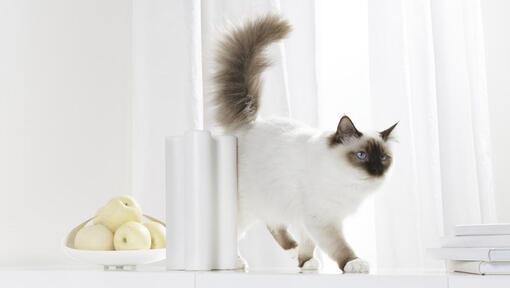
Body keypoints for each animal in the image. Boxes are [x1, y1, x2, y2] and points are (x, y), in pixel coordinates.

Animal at [213, 14, 396, 274]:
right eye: (361, 156)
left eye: (383, 158)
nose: (377, 171)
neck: (348, 184)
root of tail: (250, 124)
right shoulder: (322, 218)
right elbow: (339, 247)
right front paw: (354, 263)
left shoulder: (309, 217)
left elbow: (309, 241)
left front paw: (306, 262)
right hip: (246, 206)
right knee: (236, 231)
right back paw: (235, 263)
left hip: (274, 200)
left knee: (274, 224)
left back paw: (294, 252)